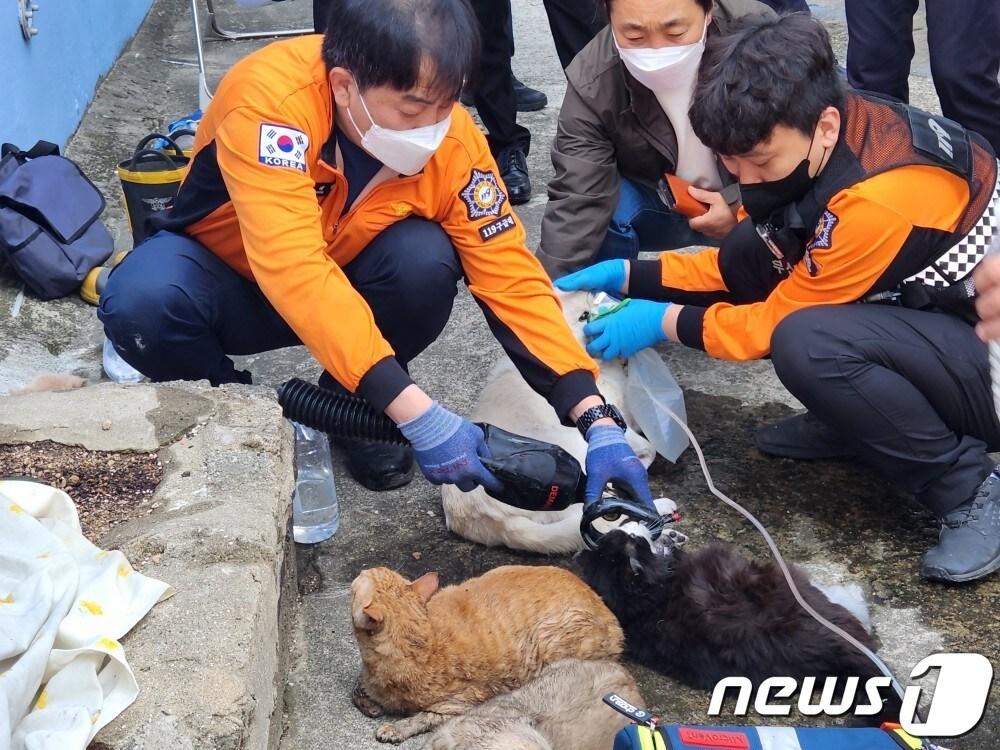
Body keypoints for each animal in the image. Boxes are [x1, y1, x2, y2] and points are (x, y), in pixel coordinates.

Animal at [348, 568, 620, 744]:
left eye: (357, 583)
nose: (363, 569)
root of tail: (608, 611)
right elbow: (358, 687)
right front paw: (370, 700)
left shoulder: (459, 704)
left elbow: (423, 718)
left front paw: (395, 728)